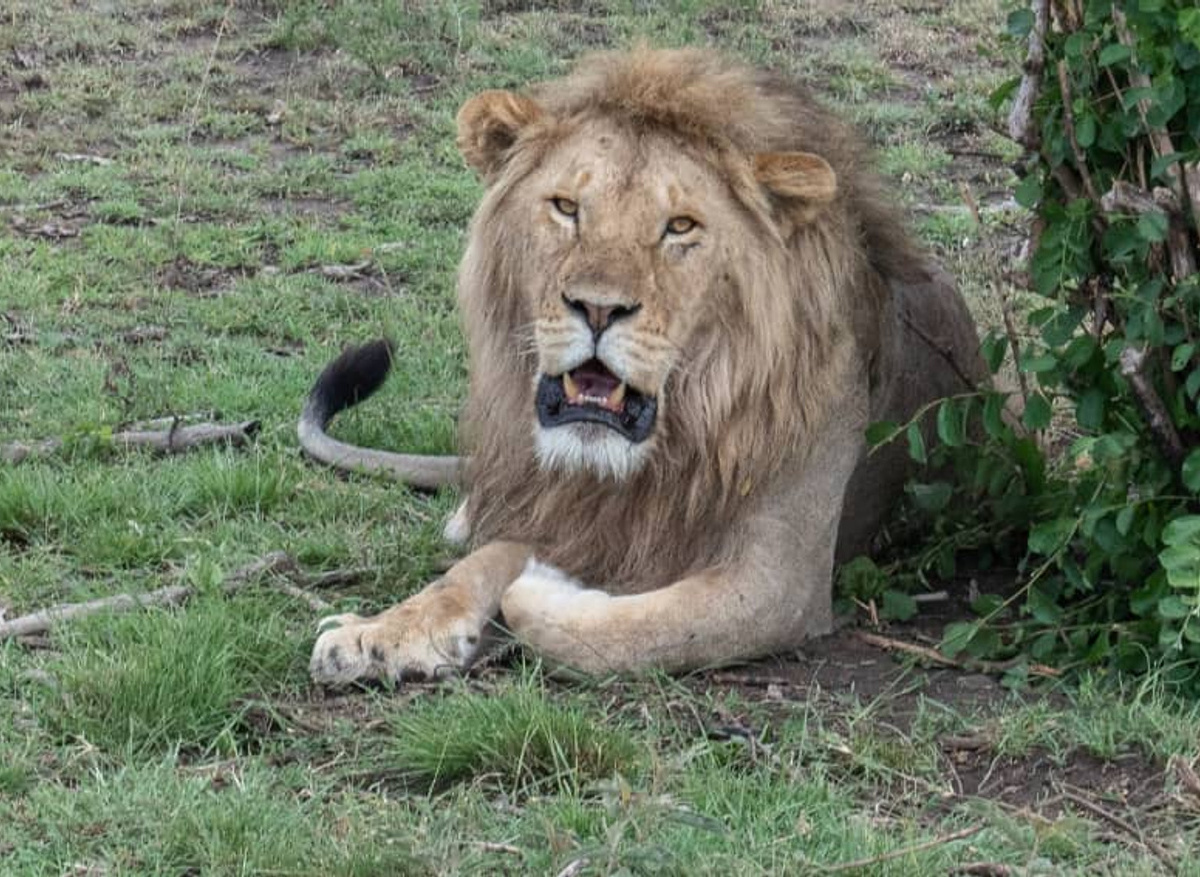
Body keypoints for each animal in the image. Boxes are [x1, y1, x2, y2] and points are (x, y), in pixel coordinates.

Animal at [300, 48, 985, 683]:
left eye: (679, 226)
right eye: (566, 207)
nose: (598, 308)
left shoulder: (781, 583)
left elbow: (623, 633)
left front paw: (544, 586)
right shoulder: (568, 508)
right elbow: (477, 565)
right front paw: (379, 633)